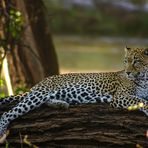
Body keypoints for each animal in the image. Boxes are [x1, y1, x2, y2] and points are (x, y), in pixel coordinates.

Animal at [0, 46, 148, 140]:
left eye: (136, 61)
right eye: (126, 61)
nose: (127, 72)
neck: (145, 79)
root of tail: (40, 82)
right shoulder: (120, 97)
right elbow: (140, 100)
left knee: (46, 101)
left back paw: (61, 104)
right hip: (39, 94)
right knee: (7, 113)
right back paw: (2, 131)